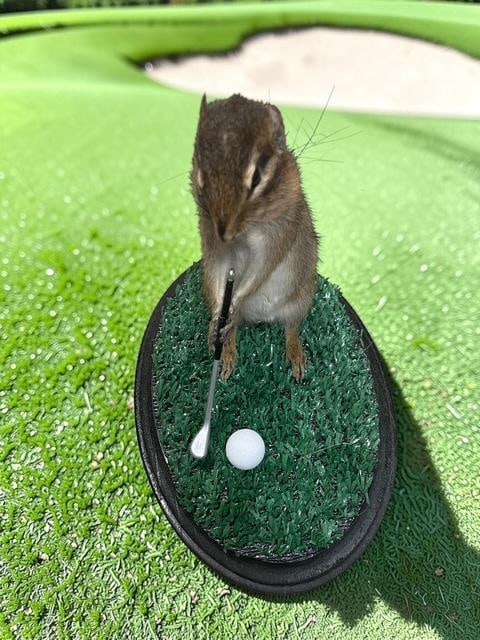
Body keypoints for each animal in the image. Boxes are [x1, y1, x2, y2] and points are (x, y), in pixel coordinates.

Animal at [191, 94, 319, 382]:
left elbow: (263, 268)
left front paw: (234, 304)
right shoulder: (212, 239)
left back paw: (297, 359)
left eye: (258, 176)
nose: (224, 232)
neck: (243, 233)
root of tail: (264, 317)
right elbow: (218, 270)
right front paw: (217, 319)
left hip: (302, 299)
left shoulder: (278, 235)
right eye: (200, 174)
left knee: (292, 328)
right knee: (236, 331)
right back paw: (227, 354)